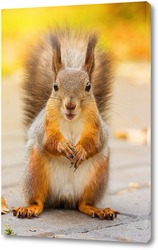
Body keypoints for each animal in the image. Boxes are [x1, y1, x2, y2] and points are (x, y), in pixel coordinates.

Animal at [12, 29, 118, 220]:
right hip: (34, 170)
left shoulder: (96, 127)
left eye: (88, 86)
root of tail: (64, 198)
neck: (71, 120)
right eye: (55, 86)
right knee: (39, 200)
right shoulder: (45, 126)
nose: (70, 105)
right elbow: (49, 141)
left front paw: (81, 150)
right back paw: (30, 208)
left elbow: (94, 142)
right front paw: (63, 146)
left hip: (98, 176)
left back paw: (98, 210)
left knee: (83, 204)